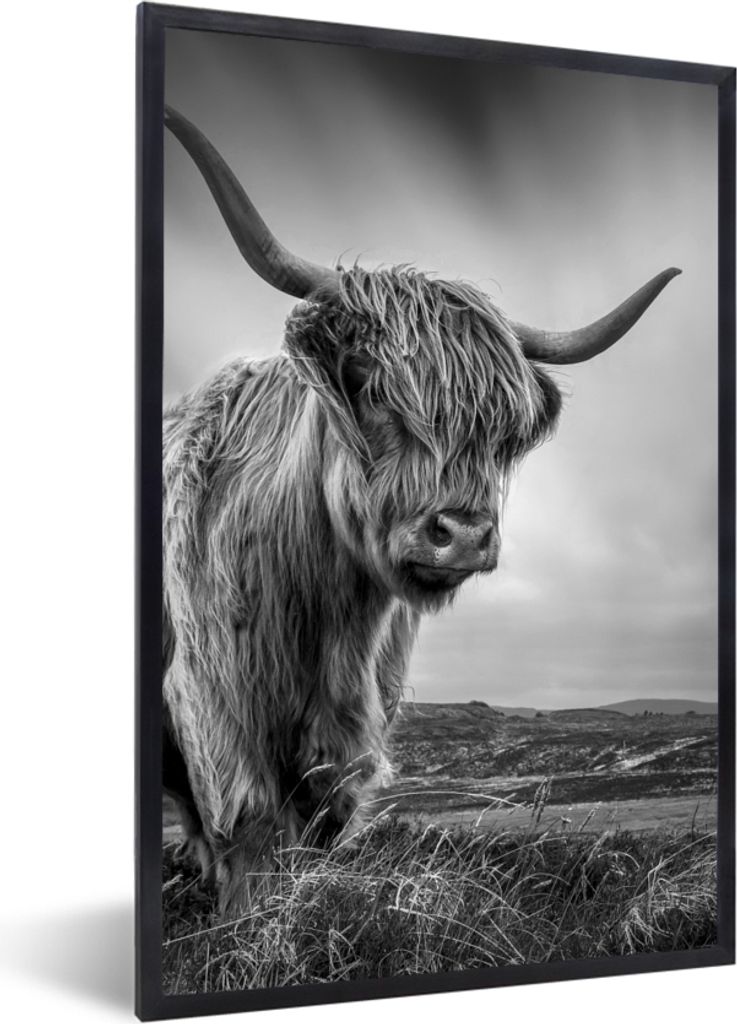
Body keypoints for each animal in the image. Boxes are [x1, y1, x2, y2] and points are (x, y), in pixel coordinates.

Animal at [162, 105, 680, 913]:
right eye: (368, 383)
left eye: (501, 427)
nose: (461, 535)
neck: (326, 615)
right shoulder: (217, 710)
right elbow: (248, 836)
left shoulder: (350, 739)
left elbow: (314, 828)